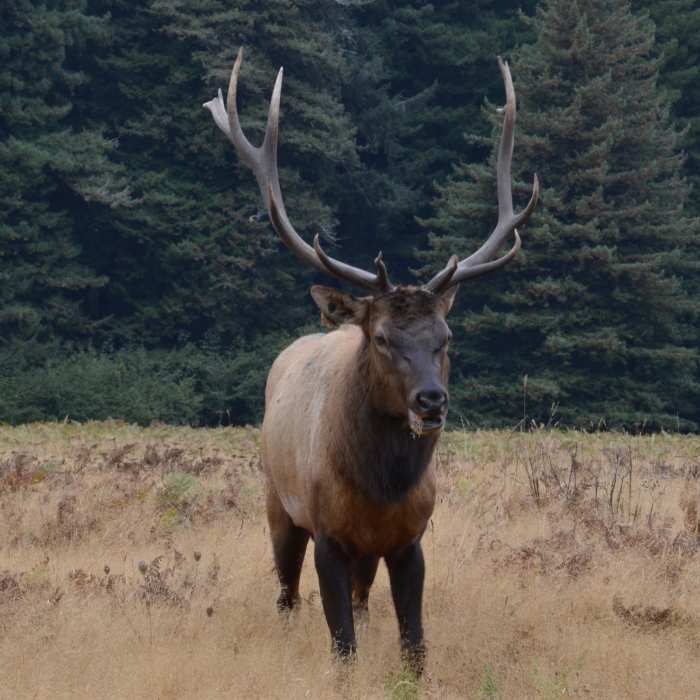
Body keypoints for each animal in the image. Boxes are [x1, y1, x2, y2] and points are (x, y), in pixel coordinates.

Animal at [204, 48, 538, 673]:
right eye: (381, 337)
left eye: (446, 335)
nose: (431, 400)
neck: (377, 493)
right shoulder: (329, 536)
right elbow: (342, 645)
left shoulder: (410, 540)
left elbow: (414, 644)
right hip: (276, 503)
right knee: (285, 595)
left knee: (359, 601)